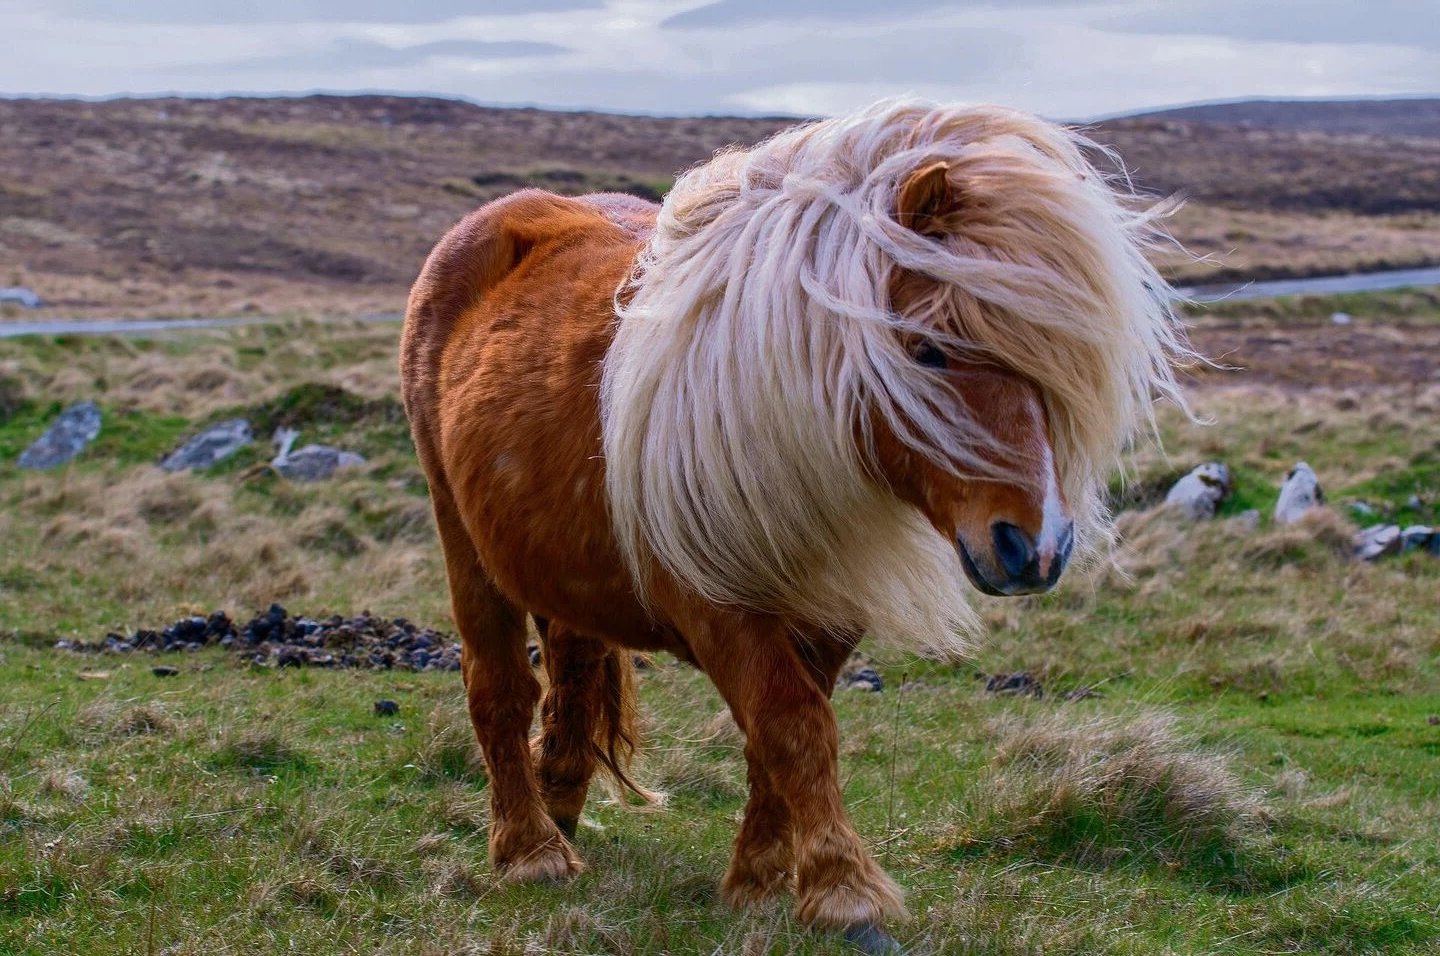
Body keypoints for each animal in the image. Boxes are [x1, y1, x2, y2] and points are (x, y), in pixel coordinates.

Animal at [400, 98, 1189, 949]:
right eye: (927, 350)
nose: (1034, 548)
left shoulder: (829, 607)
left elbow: (773, 741)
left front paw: (760, 879)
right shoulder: (716, 603)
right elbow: (793, 726)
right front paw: (844, 892)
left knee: (573, 676)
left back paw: (562, 811)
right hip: (463, 540)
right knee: (499, 688)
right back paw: (530, 850)